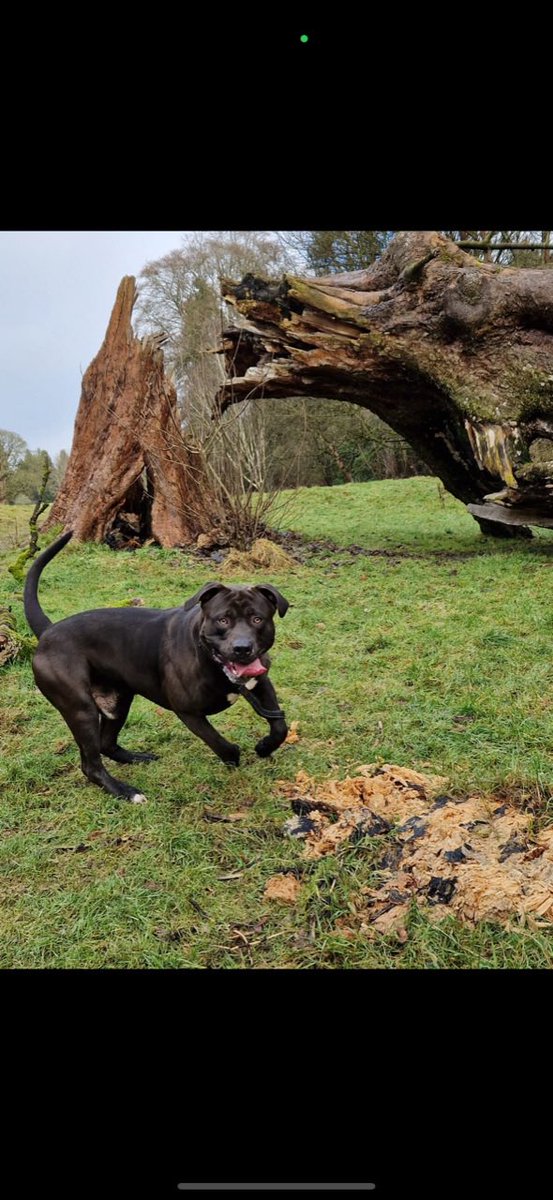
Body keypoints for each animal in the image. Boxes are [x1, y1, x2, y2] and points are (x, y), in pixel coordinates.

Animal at [22, 530, 289, 801]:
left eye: (257, 619)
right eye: (222, 620)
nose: (242, 648)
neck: (210, 660)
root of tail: (48, 631)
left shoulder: (261, 683)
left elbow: (280, 726)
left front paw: (265, 746)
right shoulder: (189, 712)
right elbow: (222, 744)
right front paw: (234, 759)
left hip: (119, 700)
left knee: (106, 743)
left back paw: (136, 758)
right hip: (80, 709)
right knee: (91, 764)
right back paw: (125, 792)